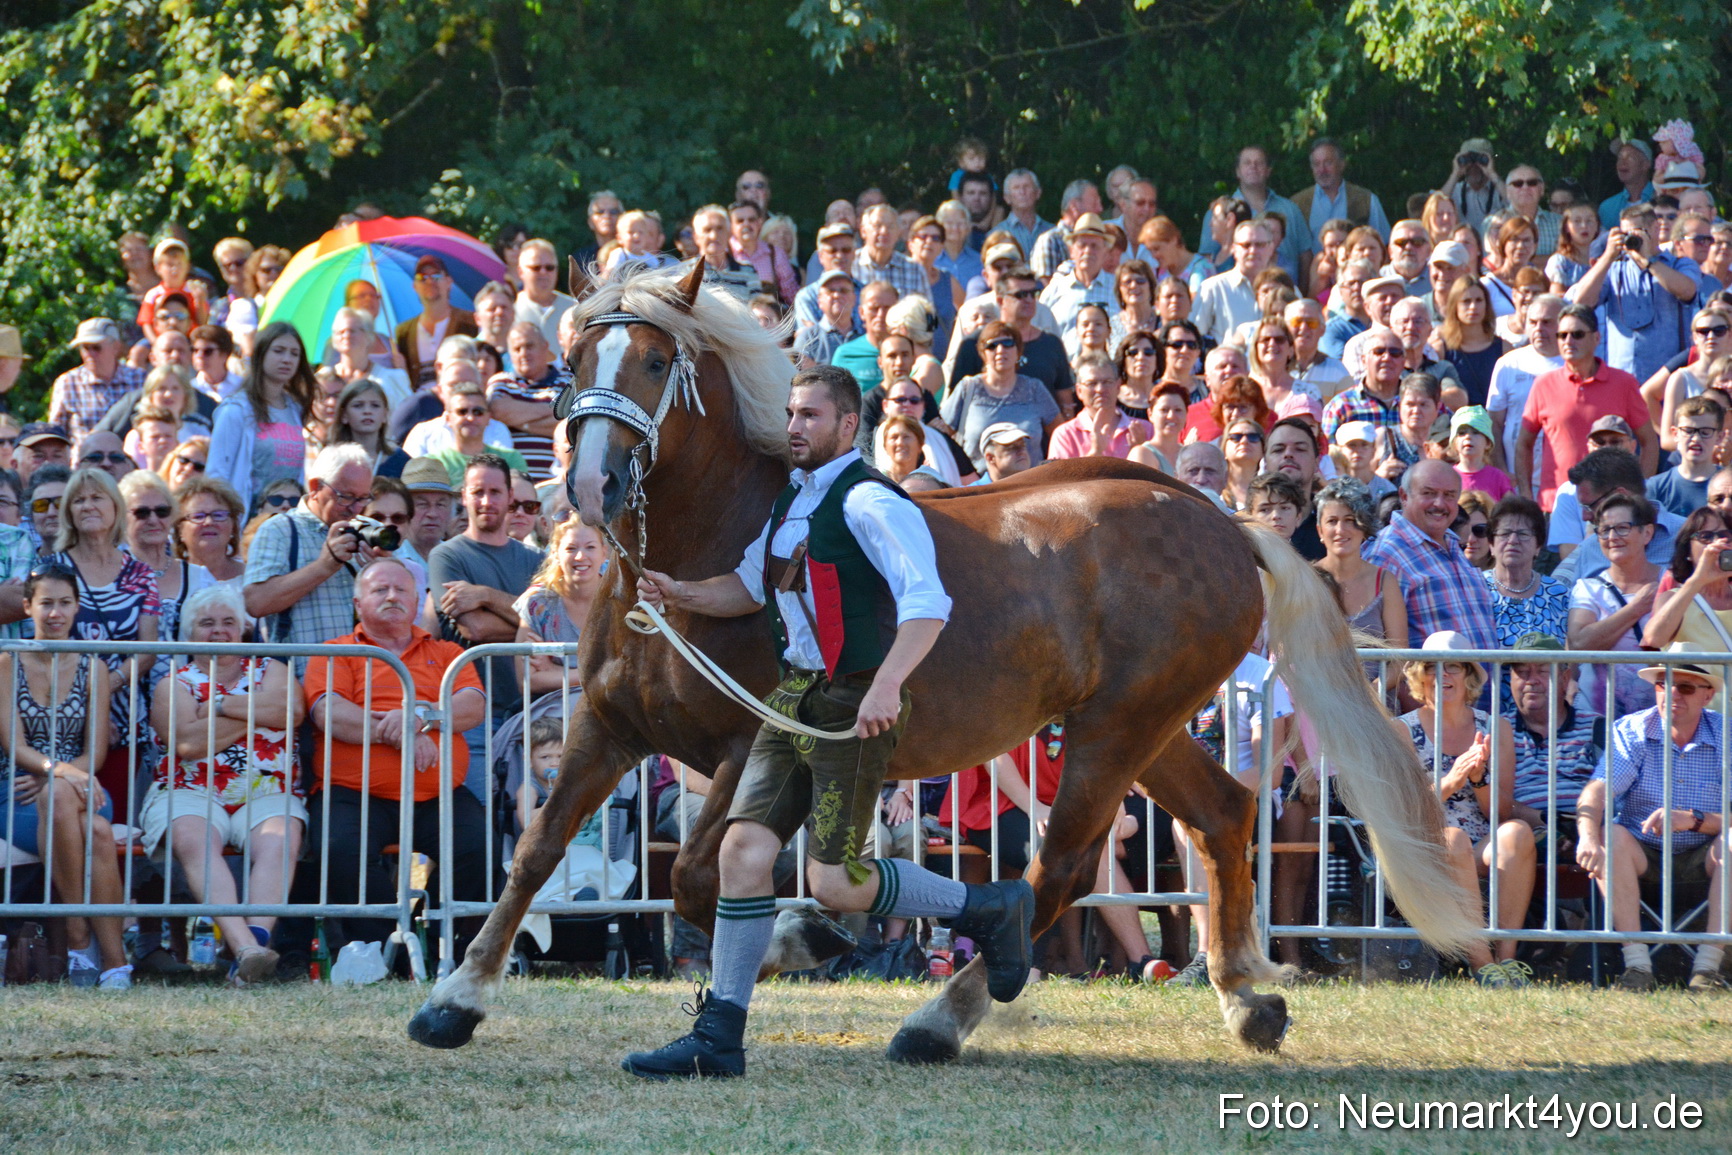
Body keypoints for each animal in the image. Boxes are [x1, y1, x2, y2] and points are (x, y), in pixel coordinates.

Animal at [408, 260, 1481, 1062]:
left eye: (657, 356)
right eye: (572, 357)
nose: (592, 483)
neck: (706, 550)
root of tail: (1224, 522)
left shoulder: (752, 744)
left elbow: (700, 878)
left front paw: (808, 931)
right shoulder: (606, 728)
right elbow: (535, 851)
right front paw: (455, 998)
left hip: (1116, 730)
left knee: (1058, 867)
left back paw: (943, 1016)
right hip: (1148, 724)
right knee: (1218, 813)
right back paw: (1246, 999)